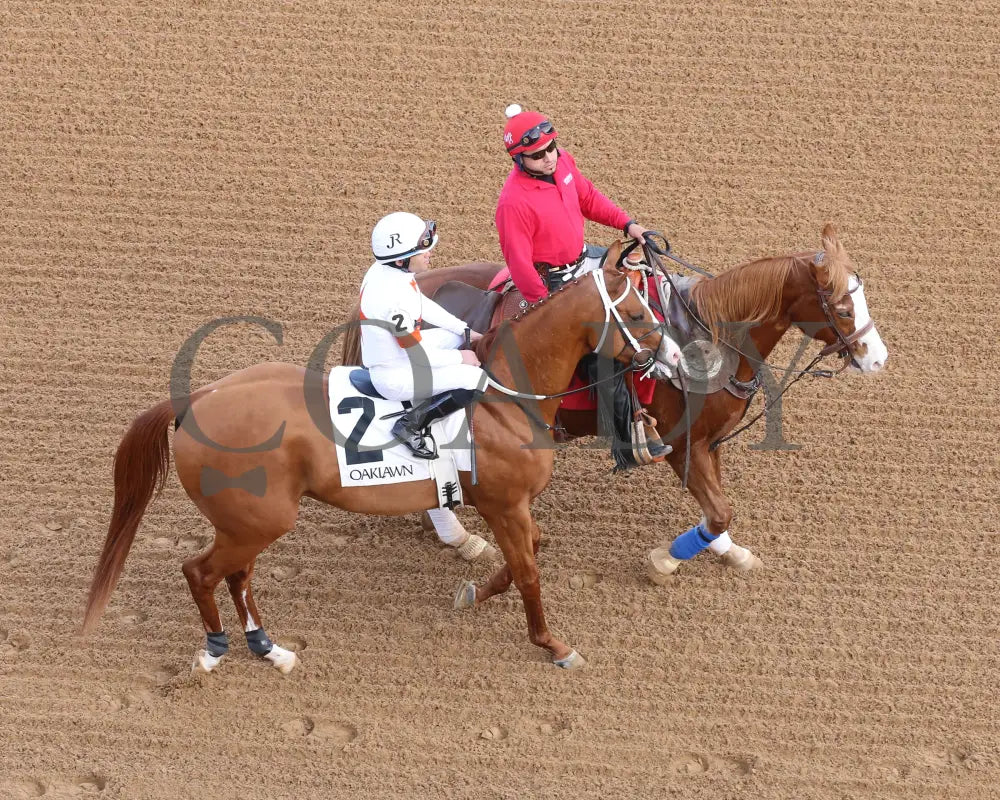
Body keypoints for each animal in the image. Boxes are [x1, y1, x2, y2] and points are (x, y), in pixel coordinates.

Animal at [86, 260, 684, 672]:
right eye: (637, 314)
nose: (676, 357)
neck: (505, 395)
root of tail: (197, 399)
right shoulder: (506, 504)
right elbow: (530, 571)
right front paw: (552, 644)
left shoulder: (510, 508)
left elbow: (523, 560)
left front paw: (475, 592)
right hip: (256, 521)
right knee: (201, 572)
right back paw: (214, 651)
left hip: (245, 523)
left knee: (236, 576)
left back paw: (270, 649)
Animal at [346, 225, 892, 592]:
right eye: (842, 307)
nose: (878, 358)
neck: (705, 339)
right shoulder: (681, 442)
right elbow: (717, 510)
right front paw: (664, 561)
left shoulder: (710, 441)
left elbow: (719, 510)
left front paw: (728, 552)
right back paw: (458, 536)